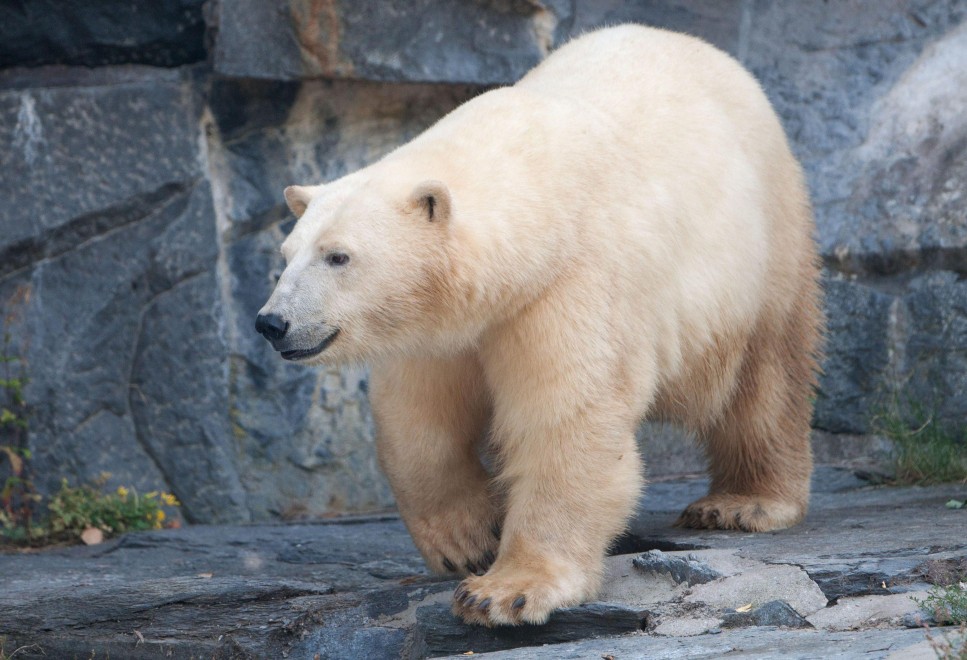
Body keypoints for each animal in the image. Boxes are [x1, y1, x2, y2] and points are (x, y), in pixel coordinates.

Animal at [255, 24, 823, 626]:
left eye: (338, 256)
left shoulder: (566, 285)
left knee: (766, 376)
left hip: (764, 244)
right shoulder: (439, 325)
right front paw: (467, 539)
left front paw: (502, 591)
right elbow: (418, 421)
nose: (272, 322)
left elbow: (564, 423)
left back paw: (742, 504)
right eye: (286, 255)